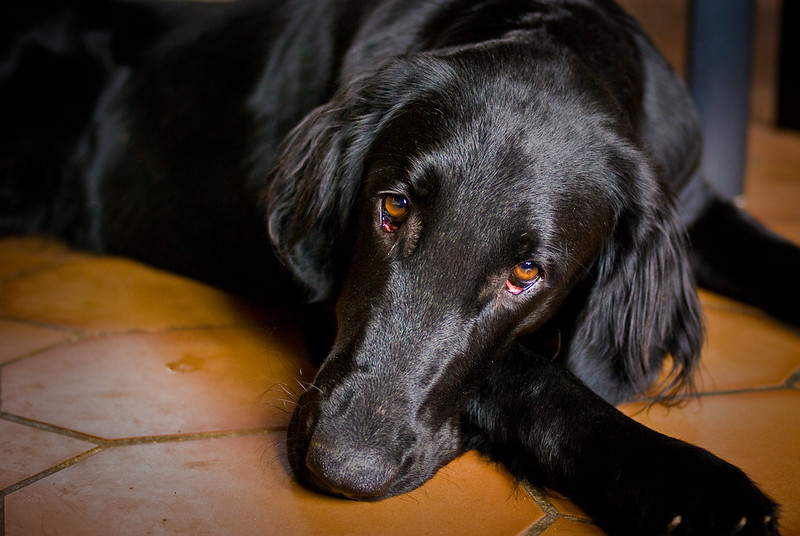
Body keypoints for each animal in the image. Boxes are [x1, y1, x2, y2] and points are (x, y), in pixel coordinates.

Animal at [3, 1, 796, 536]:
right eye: (393, 206)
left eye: (527, 273)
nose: (341, 468)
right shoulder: (324, 301)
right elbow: (534, 379)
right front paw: (689, 487)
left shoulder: (696, 201)